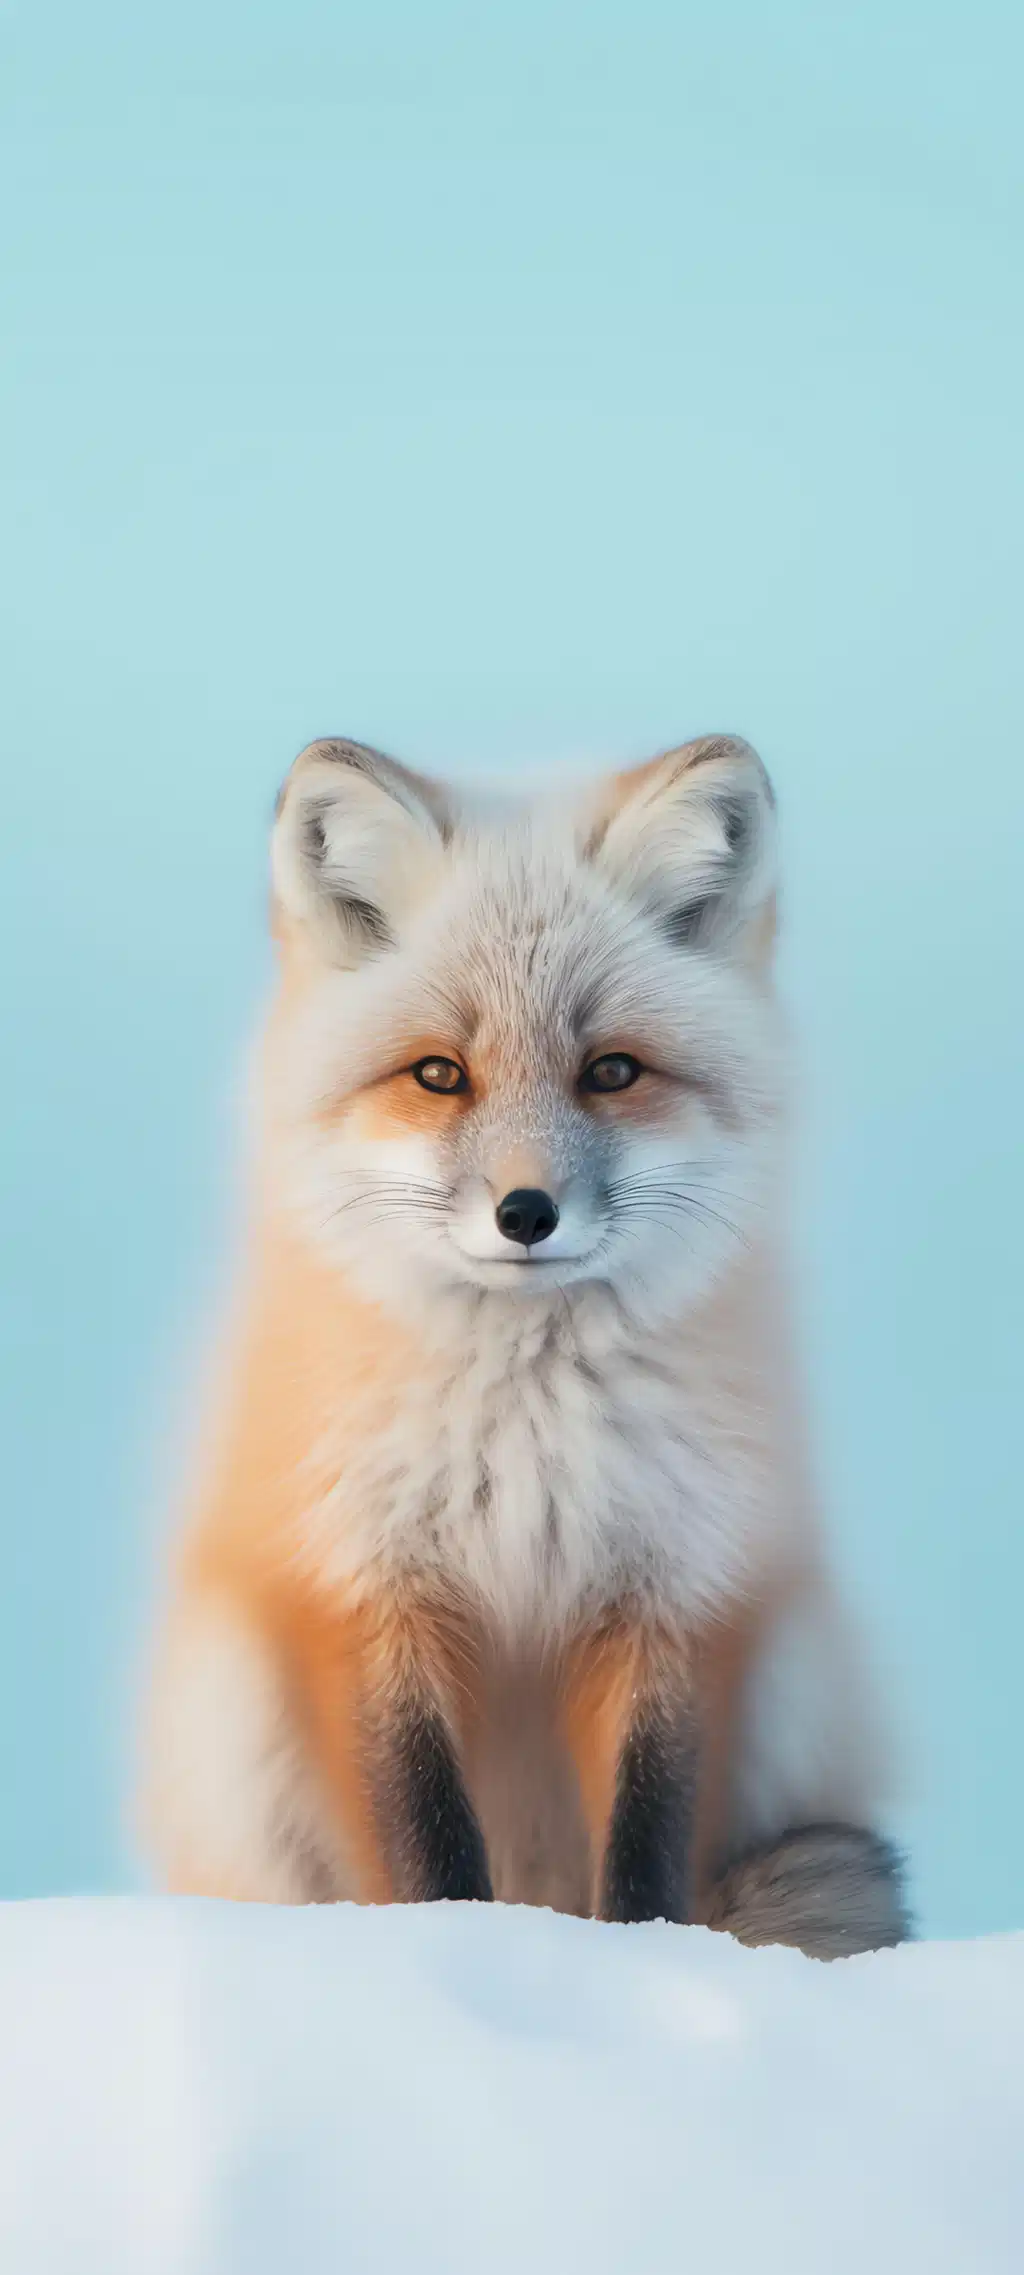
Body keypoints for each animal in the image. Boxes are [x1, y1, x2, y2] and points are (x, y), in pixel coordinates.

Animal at [142, 731, 908, 1955]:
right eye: (438, 1073)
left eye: (612, 1071)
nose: (526, 1213)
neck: (529, 1432)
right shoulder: (362, 1594)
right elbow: (424, 1841)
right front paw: (463, 1958)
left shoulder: (676, 1592)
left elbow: (646, 1843)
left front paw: (642, 1963)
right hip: (235, 1715)